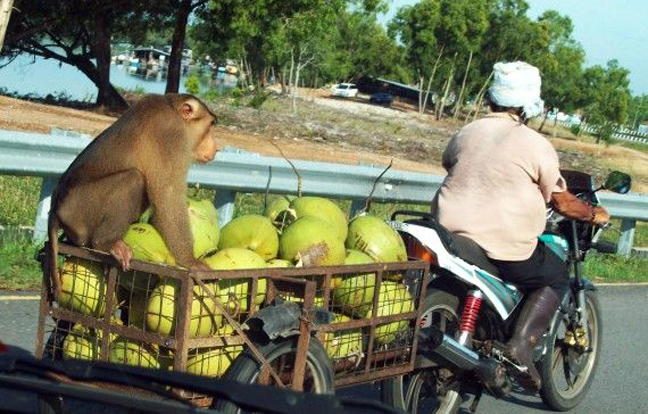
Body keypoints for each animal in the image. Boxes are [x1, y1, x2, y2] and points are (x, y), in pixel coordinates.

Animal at [46, 94, 218, 298]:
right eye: (210, 126)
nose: (217, 148)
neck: (172, 109)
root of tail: (55, 209)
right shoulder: (171, 134)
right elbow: (168, 194)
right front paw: (189, 260)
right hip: (80, 209)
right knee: (133, 179)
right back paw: (106, 243)